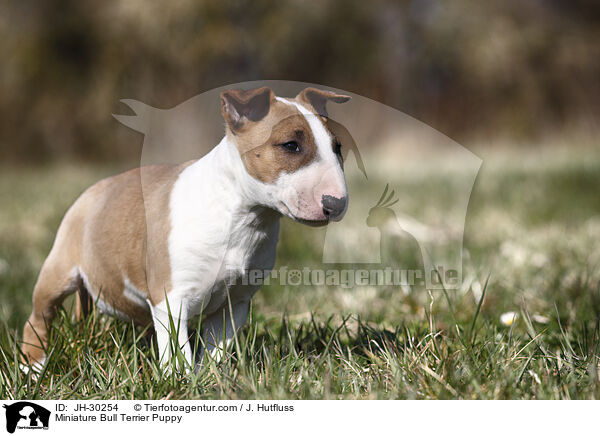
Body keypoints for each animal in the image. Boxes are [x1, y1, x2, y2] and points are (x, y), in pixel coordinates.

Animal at [22, 86, 352, 372]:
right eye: (291, 145)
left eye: (337, 148)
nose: (336, 204)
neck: (242, 216)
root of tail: (93, 190)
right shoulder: (172, 300)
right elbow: (176, 351)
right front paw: (179, 380)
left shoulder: (235, 303)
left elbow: (216, 349)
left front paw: (212, 377)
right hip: (58, 270)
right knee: (38, 319)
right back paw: (34, 369)